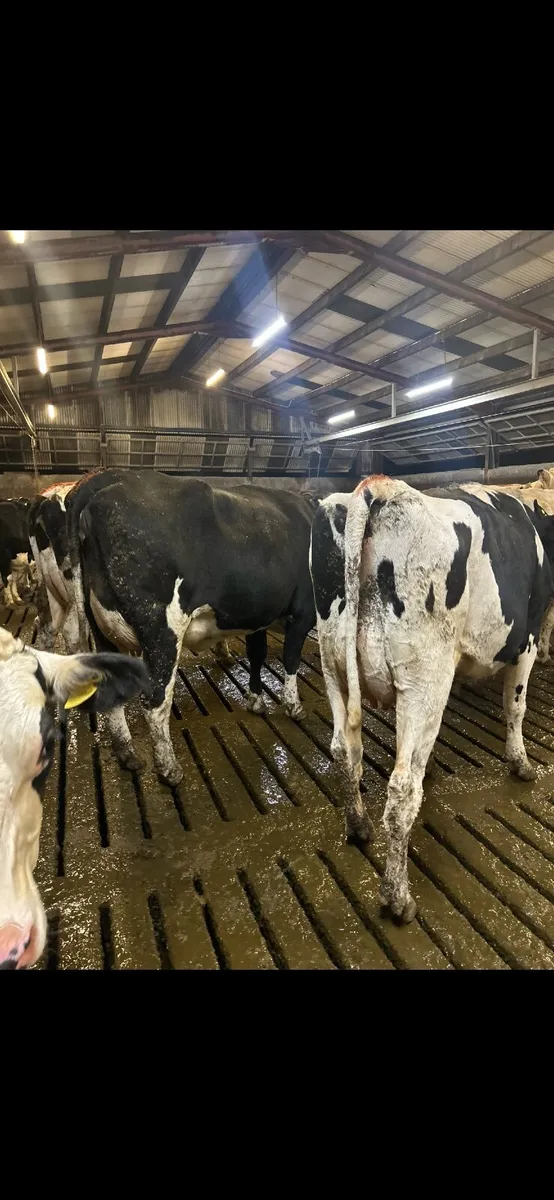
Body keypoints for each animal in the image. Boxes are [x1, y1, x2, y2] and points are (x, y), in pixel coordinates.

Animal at [66, 471, 316, 786]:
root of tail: (108, 477)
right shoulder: (303, 612)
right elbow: (291, 659)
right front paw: (294, 707)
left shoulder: (259, 617)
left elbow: (257, 655)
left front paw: (256, 699)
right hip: (161, 632)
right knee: (155, 702)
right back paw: (169, 768)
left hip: (103, 630)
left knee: (112, 694)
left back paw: (128, 755)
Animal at [310, 476, 554, 925]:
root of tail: (378, 489)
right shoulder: (525, 640)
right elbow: (516, 706)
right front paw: (521, 763)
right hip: (423, 678)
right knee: (403, 789)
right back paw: (398, 898)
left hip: (333, 664)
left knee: (344, 752)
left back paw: (358, 826)